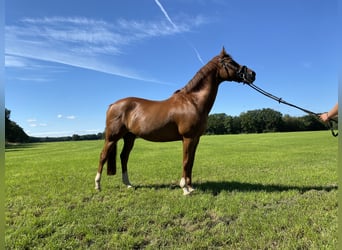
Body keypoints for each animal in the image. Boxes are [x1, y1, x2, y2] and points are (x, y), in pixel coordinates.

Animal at [95, 47, 255, 194]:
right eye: (231, 62)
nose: (252, 74)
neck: (193, 101)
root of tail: (113, 105)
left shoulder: (195, 139)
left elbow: (191, 162)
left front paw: (191, 186)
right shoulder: (187, 138)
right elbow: (185, 161)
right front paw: (185, 188)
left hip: (129, 137)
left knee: (124, 157)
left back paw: (128, 184)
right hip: (112, 137)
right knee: (103, 156)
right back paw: (98, 185)